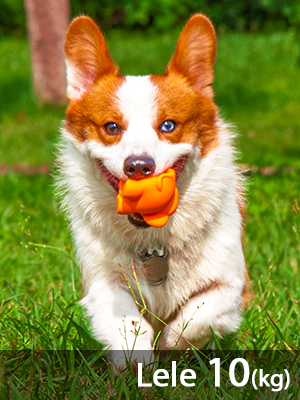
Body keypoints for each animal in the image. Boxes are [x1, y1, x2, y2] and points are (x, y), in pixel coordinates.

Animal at [58, 14, 248, 368]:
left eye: (168, 126)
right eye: (111, 128)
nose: (138, 166)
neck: (154, 242)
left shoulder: (231, 286)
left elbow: (198, 316)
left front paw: (172, 343)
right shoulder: (102, 282)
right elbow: (128, 325)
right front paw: (137, 363)